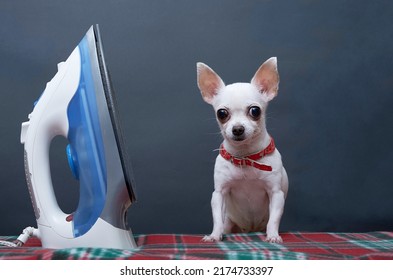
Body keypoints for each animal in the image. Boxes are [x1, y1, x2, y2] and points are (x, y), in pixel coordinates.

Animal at [198, 57, 286, 243]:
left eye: (255, 110)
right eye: (222, 113)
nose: (237, 129)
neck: (246, 157)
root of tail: (250, 229)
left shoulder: (276, 194)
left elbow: (274, 220)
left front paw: (273, 236)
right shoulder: (219, 194)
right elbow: (217, 218)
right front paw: (214, 235)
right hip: (230, 222)